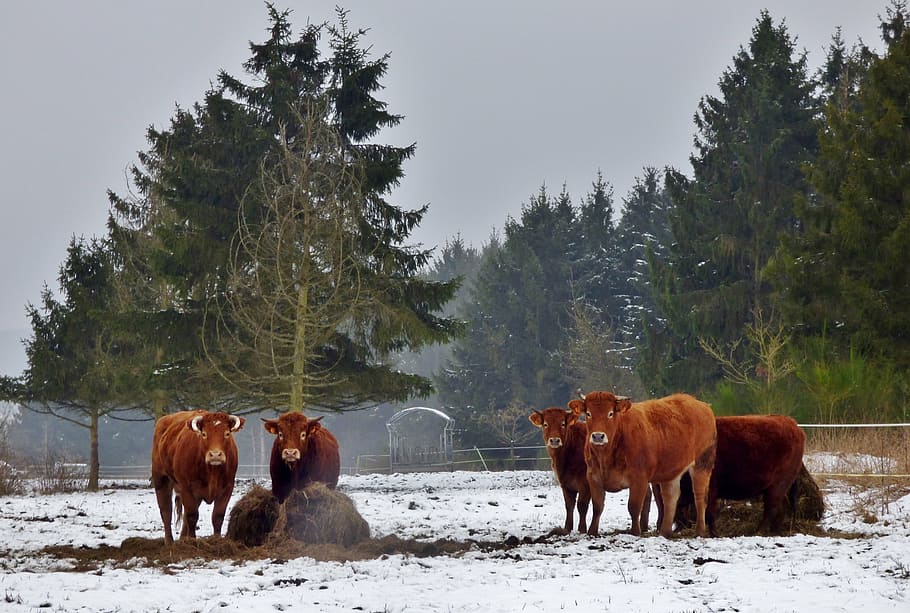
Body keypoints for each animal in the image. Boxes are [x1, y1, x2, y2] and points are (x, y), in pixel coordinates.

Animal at [151, 409, 245, 545]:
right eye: (204, 434)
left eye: (227, 433)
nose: (215, 455)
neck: (212, 472)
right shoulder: (186, 487)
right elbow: (192, 516)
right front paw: (193, 543)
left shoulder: (227, 488)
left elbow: (217, 516)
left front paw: (217, 541)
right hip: (161, 479)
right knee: (166, 511)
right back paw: (169, 542)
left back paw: (184, 539)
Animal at [570, 390, 716, 538]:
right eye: (588, 413)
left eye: (610, 413)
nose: (598, 436)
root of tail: (702, 405)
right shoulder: (593, 477)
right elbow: (597, 507)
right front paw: (592, 532)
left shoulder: (639, 479)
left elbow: (634, 507)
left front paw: (635, 532)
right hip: (671, 471)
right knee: (671, 497)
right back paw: (665, 532)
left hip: (702, 463)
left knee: (700, 496)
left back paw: (699, 531)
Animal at [672, 414, 806, 536]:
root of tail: (794, 426)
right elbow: (680, 507)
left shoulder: (710, 490)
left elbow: (709, 513)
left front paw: (714, 534)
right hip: (778, 488)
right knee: (782, 506)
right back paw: (775, 531)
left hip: (778, 486)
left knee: (772, 508)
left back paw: (758, 531)